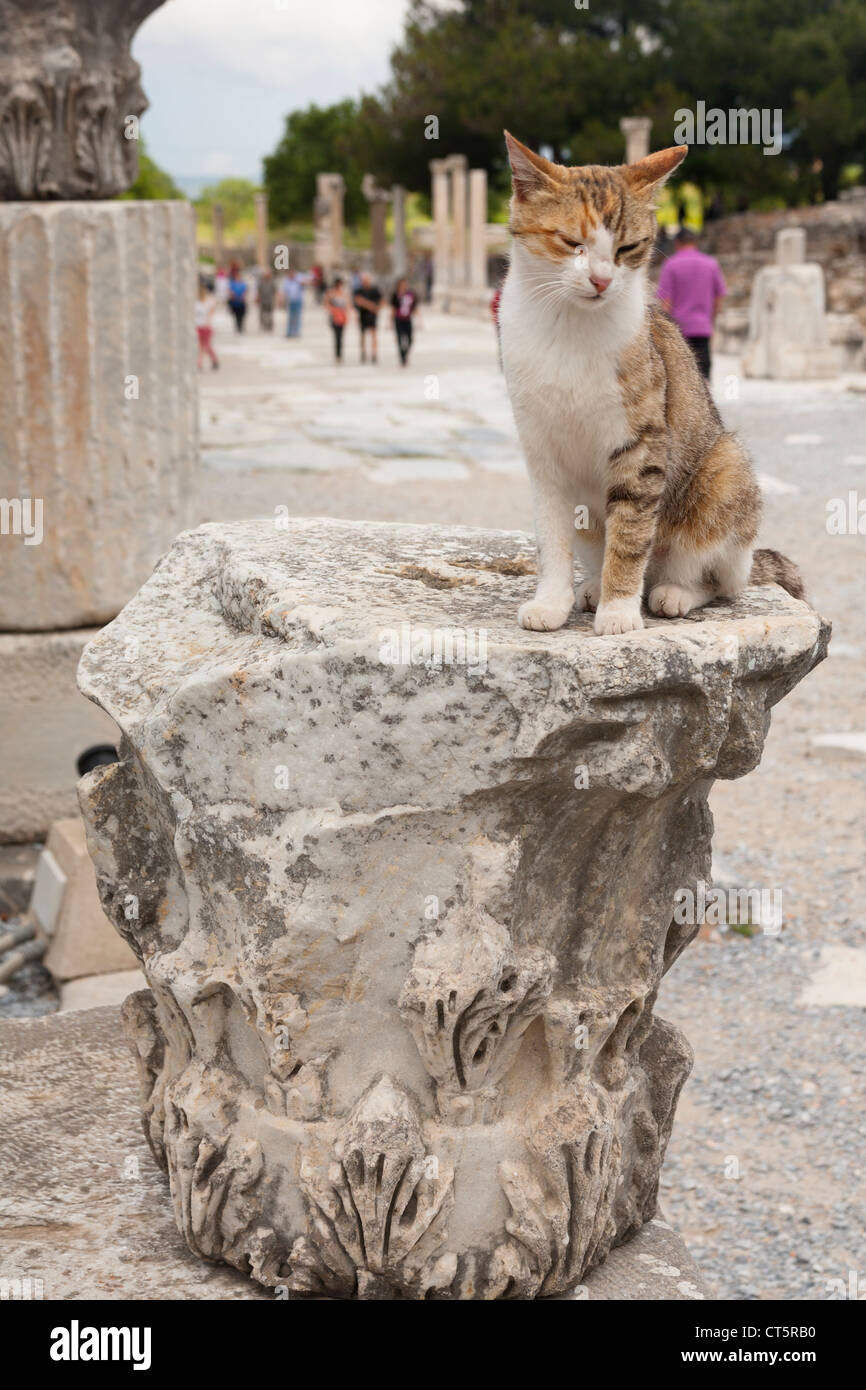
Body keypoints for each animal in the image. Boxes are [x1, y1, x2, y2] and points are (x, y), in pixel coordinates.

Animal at [497, 132, 811, 633]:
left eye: (628, 248)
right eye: (572, 243)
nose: (601, 280)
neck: (569, 327)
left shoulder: (641, 445)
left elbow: (629, 536)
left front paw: (619, 611)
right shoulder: (542, 449)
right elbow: (551, 537)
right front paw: (551, 601)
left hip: (724, 477)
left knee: (720, 581)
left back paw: (673, 592)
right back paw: (592, 587)